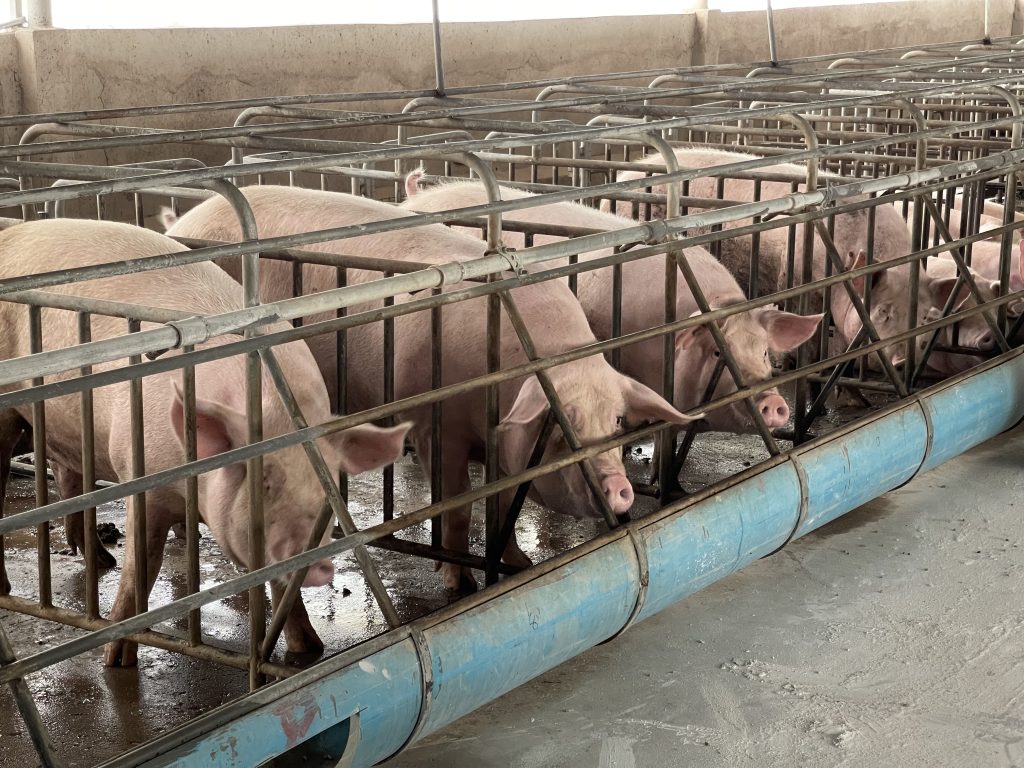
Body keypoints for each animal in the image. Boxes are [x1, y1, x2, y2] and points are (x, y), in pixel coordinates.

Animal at [0, 219, 407, 663]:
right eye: (264, 482)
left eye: (326, 490)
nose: (310, 560)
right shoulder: (141, 479)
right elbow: (141, 571)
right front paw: (116, 661)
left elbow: (280, 587)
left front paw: (309, 651)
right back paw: (13, 587)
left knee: (67, 476)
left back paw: (102, 559)